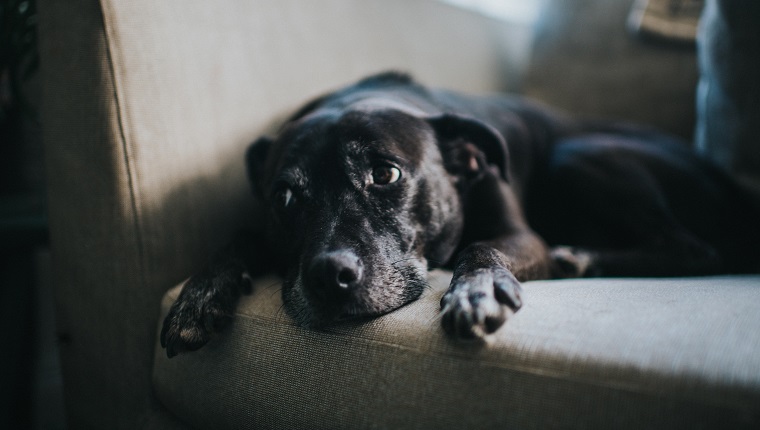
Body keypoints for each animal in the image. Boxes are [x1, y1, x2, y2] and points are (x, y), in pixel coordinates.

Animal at [159, 72, 756, 358]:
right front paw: (200, 295)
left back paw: (582, 257)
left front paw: (477, 289)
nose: (329, 276)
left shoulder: (520, 236)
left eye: (385, 174)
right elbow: (239, 235)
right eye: (284, 197)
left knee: (697, 249)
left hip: (575, 155)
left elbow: (481, 245)